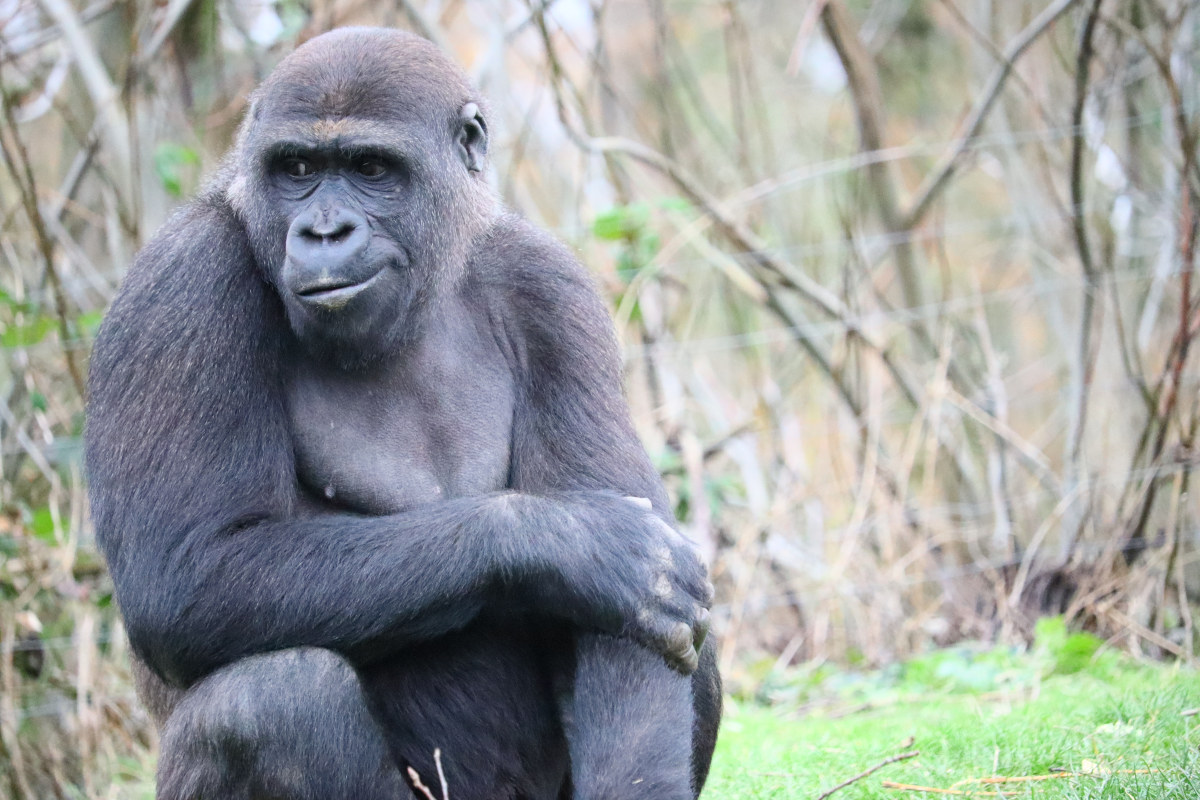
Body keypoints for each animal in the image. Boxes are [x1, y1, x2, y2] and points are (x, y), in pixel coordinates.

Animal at [88, 25, 720, 800]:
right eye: (297, 168)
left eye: (370, 168)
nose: (324, 231)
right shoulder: (178, 286)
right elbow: (183, 572)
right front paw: (580, 545)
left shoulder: (554, 290)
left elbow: (632, 626)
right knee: (269, 701)